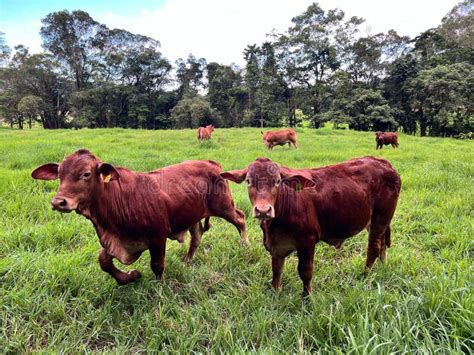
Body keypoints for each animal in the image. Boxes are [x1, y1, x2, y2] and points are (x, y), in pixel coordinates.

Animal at [32, 150, 248, 286]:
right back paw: (187, 260)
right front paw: (130, 276)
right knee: (197, 236)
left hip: (224, 206)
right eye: (59, 174)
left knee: (241, 219)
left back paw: (245, 245)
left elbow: (157, 265)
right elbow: (103, 260)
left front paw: (159, 286)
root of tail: (212, 163)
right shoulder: (118, 241)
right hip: (193, 214)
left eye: (86, 174)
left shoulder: (157, 237)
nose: (58, 202)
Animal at [221, 157, 400, 296]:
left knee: (374, 247)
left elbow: (305, 271)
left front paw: (307, 297)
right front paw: (276, 292)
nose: (263, 210)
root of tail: (384, 163)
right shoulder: (276, 246)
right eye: (249, 181)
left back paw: (365, 275)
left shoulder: (307, 241)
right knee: (383, 243)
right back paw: (382, 267)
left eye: (277, 181)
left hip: (381, 217)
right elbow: (276, 270)